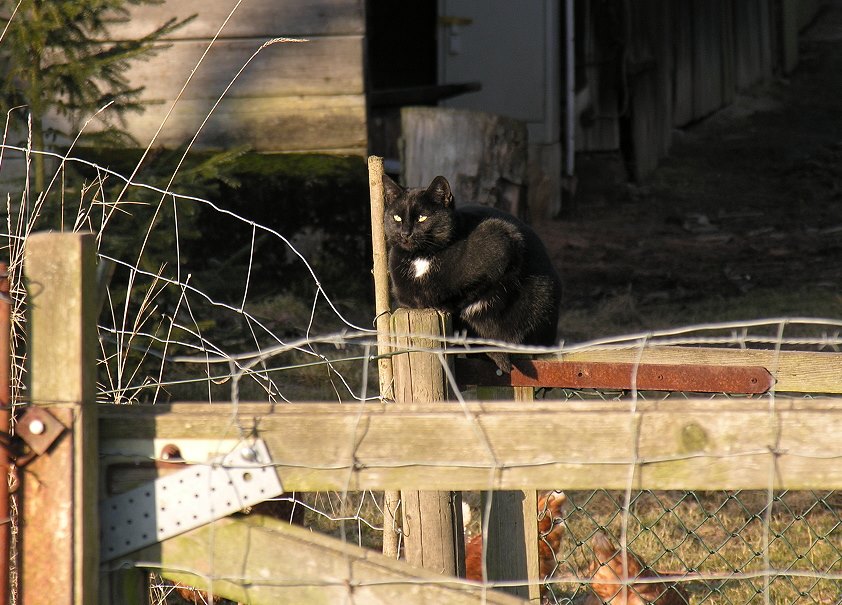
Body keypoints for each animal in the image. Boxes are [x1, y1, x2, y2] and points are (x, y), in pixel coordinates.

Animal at [384, 173, 560, 372]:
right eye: (396, 217)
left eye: (422, 217)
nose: (405, 233)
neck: (421, 257)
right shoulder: (404, 295)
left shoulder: (502, 240)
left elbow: (470, 292)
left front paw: (444, 305)